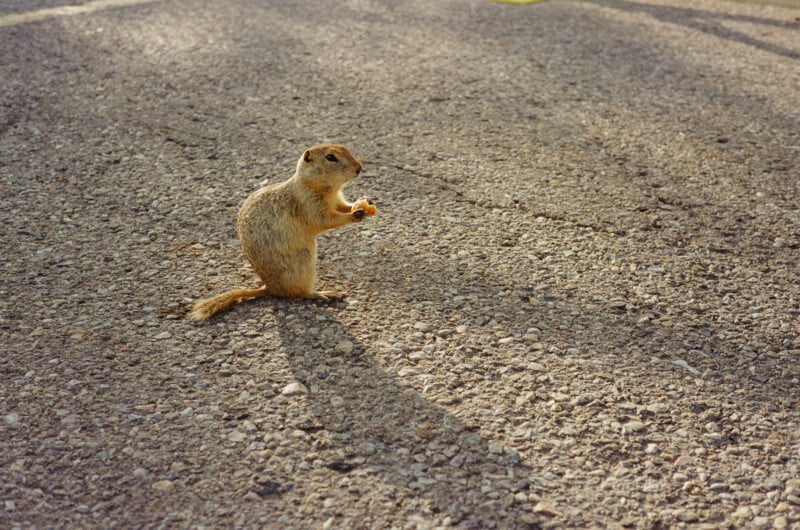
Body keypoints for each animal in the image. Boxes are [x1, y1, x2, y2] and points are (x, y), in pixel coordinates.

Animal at [187, 143, 377, 321]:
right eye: (331, 157)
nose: (359, 167)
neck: (313, 185)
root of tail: (269, 288)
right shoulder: (310, 205)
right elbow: (326, 221)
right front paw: (356, 214)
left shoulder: (336, 200)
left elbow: (344, 206)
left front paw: (362, 202)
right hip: (303, 265)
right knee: (299, 294)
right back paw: (324, 294)